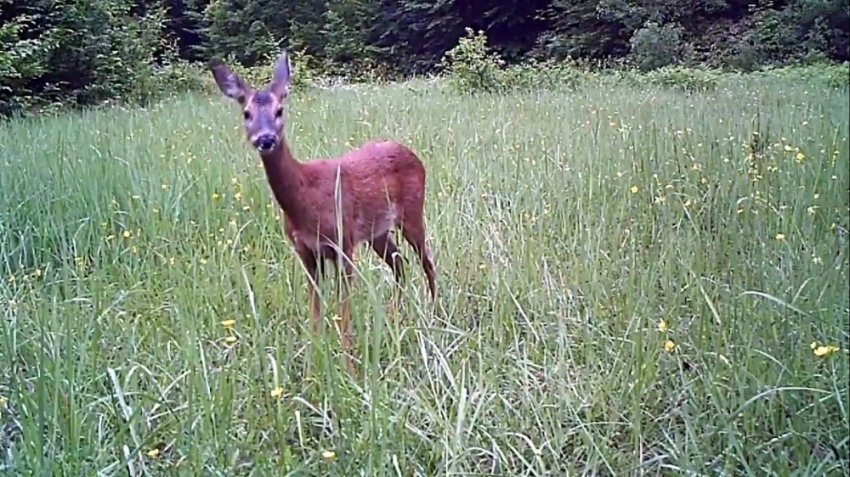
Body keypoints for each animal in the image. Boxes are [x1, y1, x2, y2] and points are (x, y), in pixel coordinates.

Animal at [209, 51, 438, 372]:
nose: (265, 139)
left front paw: (349, 367)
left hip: (413, 212)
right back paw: (393, 320)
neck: (306, 201)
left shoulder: (343, 245)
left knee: (426, 261)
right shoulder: (306, 252)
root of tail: (411, 153)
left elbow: (343, 312)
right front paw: (312, 367)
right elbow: (315, 310)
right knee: (399, 263)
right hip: (377, 232)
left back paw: (436, 317)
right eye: (246, 113)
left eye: (280, 110)